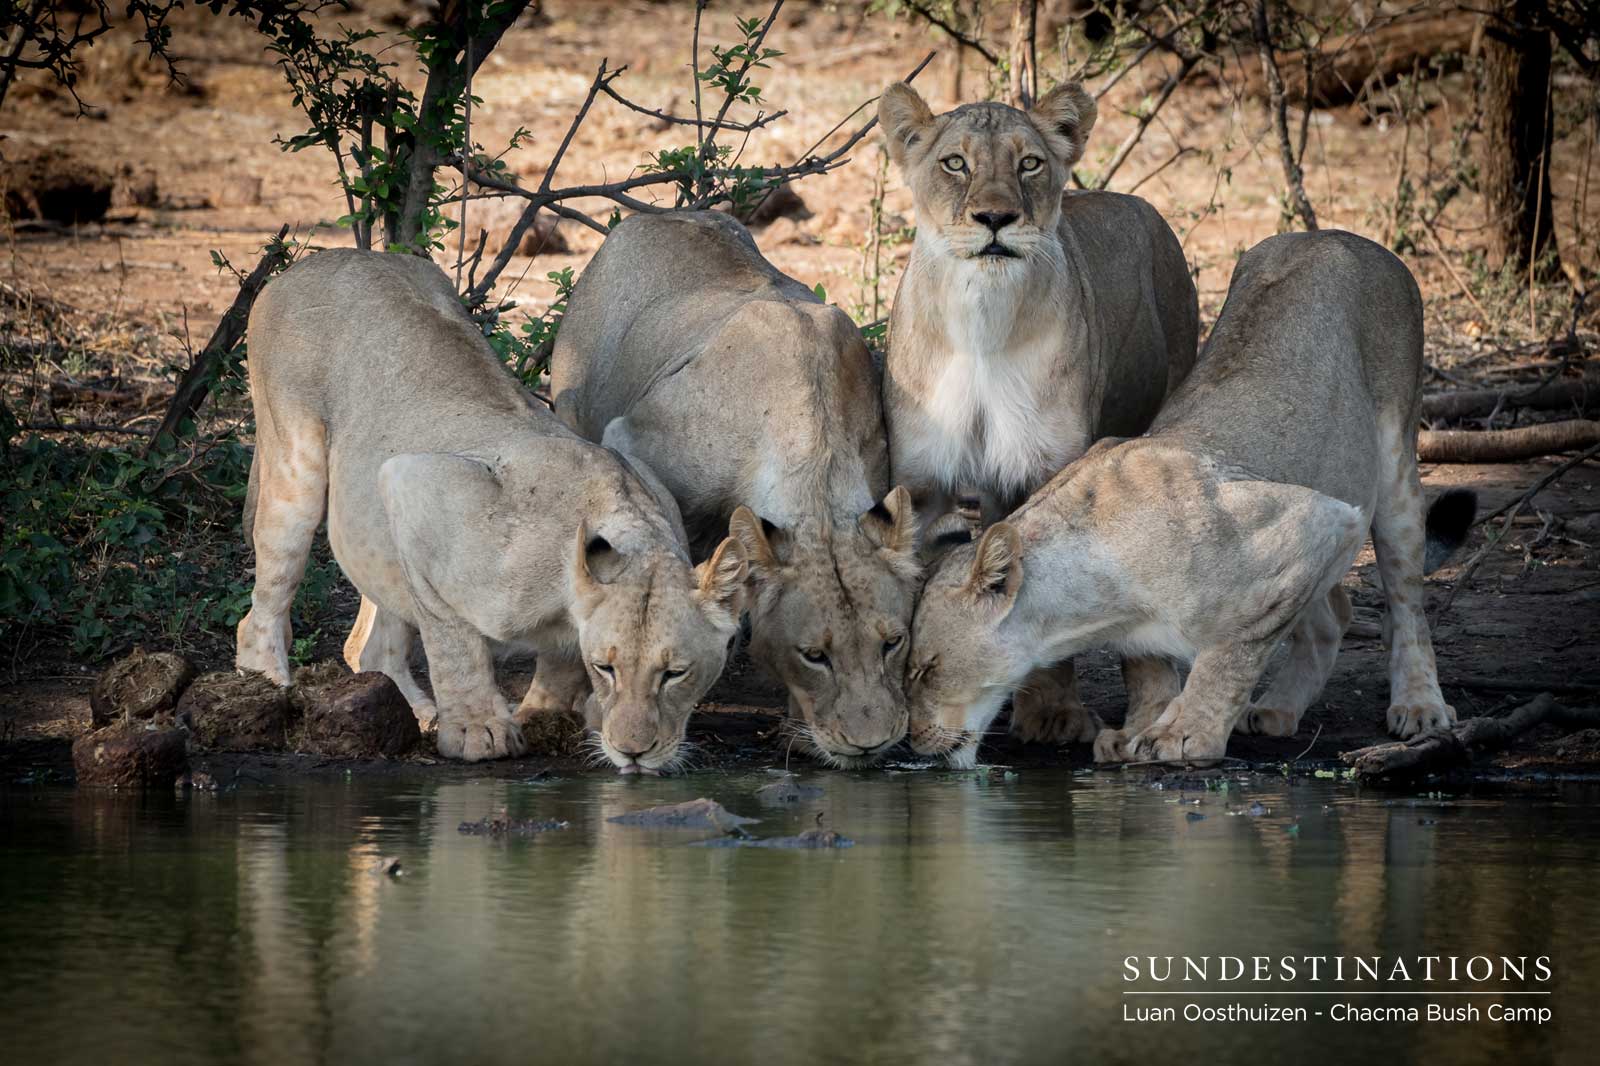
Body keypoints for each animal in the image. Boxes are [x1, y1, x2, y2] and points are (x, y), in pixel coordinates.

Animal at [236, 248, 747, 769]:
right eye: (606, 667)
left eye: (676, 673)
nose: (634, 753)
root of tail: (316, 261)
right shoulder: (411, 482)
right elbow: (452, 640)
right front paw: (477, 729)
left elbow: (559, 665)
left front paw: (543, 716)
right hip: (294, 469)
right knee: (263, 606)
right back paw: (274, 685)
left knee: (371, 646)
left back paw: (419, 713)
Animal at [876, 80, 1200, 749]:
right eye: (955, 163)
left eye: (1029, 164)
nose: (996, 218)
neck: (981, 318)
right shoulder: (922, 483)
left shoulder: (1045, 465)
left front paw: (1051, 713)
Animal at [904, 230, 1476, 768]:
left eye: (926, 668)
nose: (912, 740)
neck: (1089, 610)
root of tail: (1335, 235)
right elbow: (1148, 663)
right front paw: (1140, 728)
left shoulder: (1316, 519)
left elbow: (1230, 654)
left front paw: (1182, 733)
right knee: (1334, 612)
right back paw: (1277, 709)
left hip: (1395, 466)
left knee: (1406, 603)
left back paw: (1419, 704)